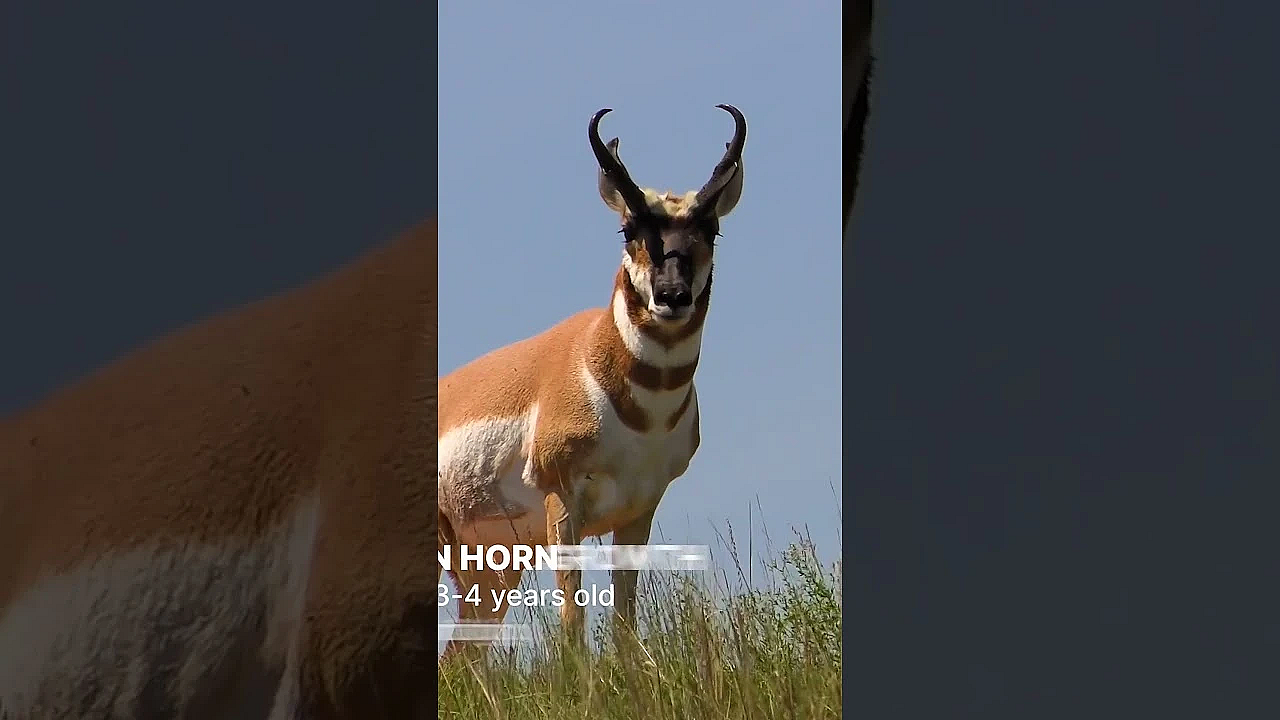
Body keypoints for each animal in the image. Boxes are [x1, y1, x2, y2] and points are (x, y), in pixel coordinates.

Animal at [437, 105, 746, 658]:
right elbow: (572, 617)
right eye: (628, 230)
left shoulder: (638, 512)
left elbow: (624, 616)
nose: (672, 296)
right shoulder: (565, 505)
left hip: (491, 572)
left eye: (710, 230)